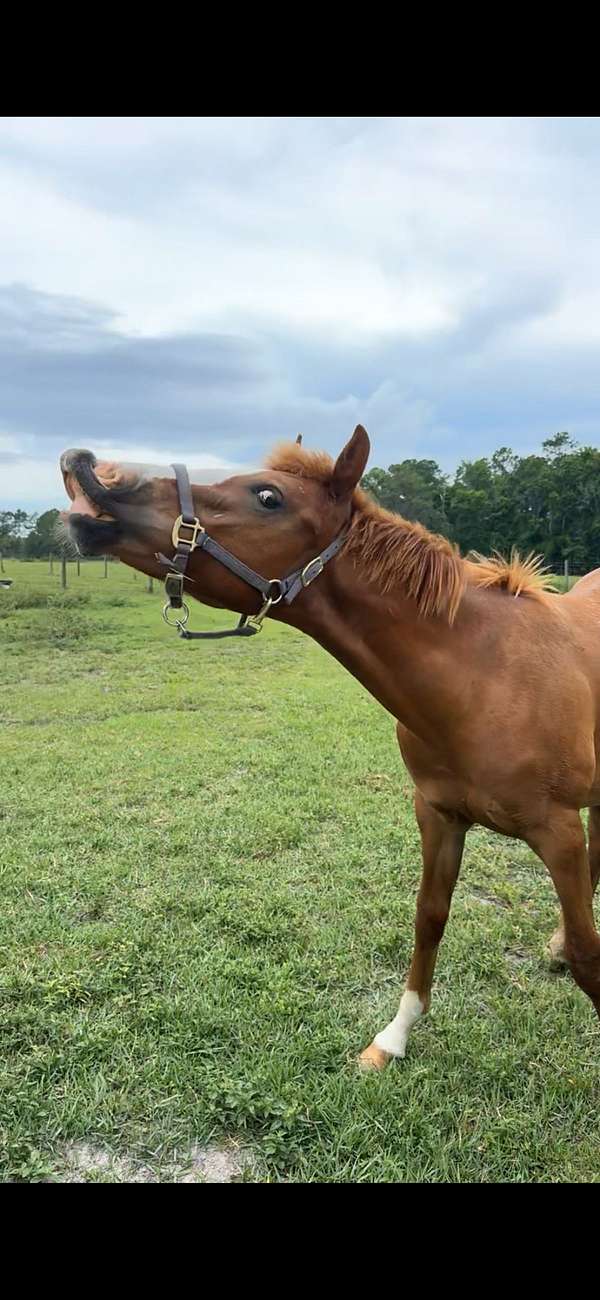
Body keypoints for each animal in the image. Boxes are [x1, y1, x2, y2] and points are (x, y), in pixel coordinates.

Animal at [59, 426, 600, 1069]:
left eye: (269, 497)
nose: (93, 471)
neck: (484, 676)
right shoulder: (438, 814)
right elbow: (430, 919)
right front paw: (392, 1039)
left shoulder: (558, 832)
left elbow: (590, 958)